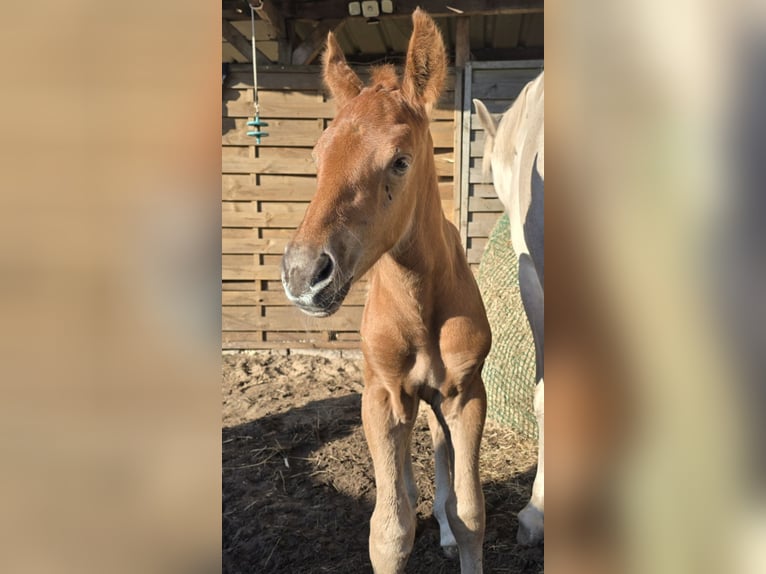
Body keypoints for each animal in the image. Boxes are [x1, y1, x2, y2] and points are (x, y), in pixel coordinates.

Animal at [281, 9, 491, 574]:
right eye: (317, 155)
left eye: (400, 160)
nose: (303, 274)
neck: (419, 310)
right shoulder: (380, 396)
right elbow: (389, 530)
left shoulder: (467, 395)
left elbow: (470, 513)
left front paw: (454, 531)